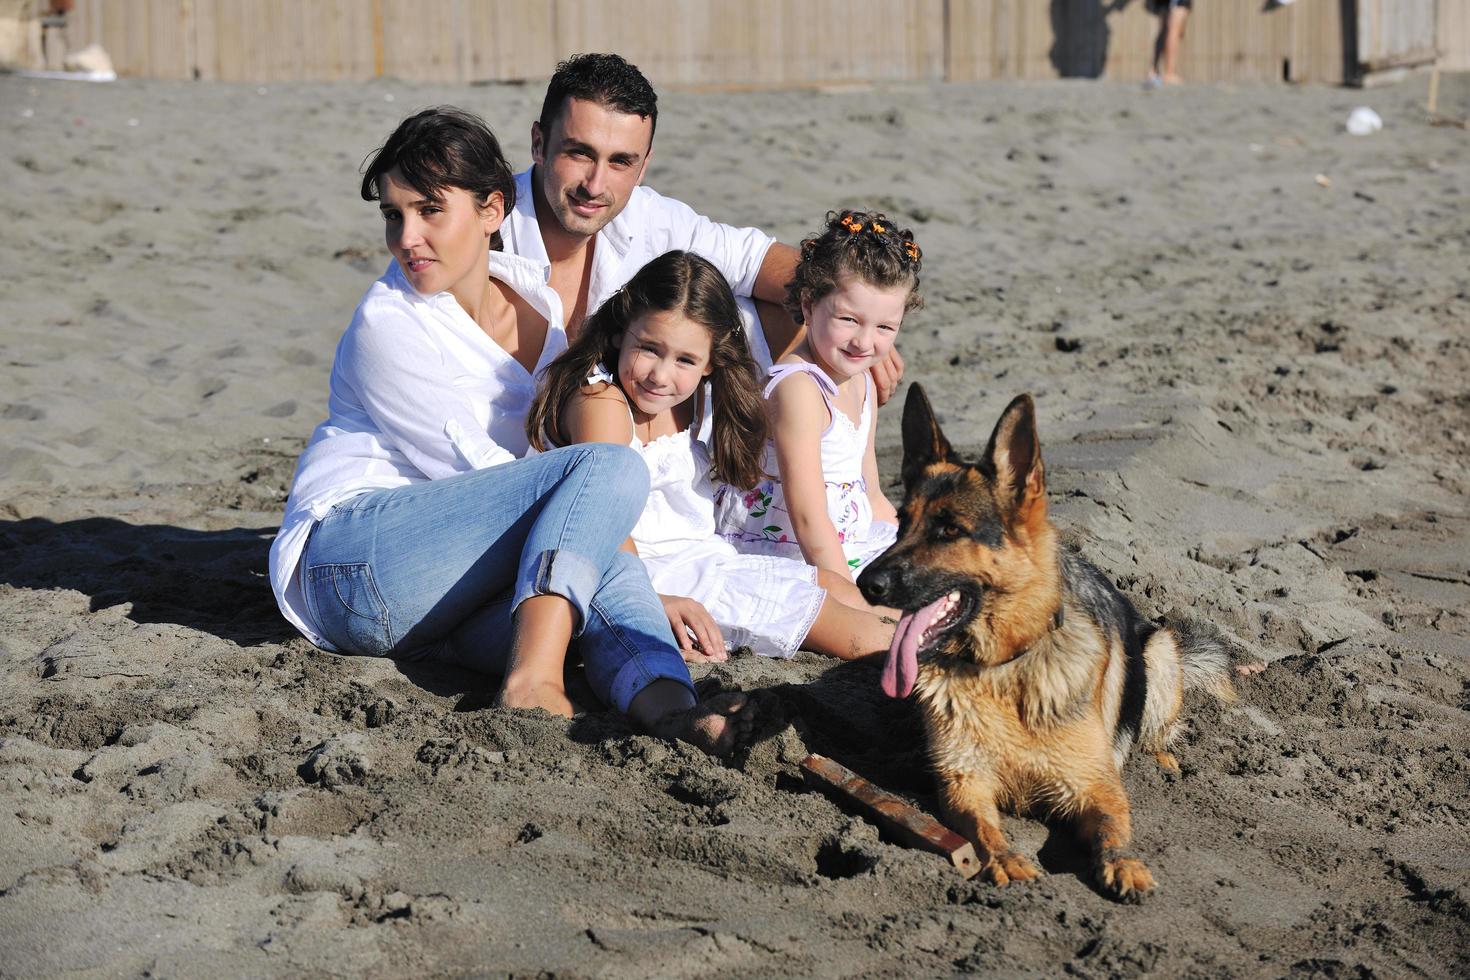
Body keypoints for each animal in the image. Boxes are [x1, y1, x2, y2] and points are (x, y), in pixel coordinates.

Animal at [858, 387, 1234, 899]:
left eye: (950, 529)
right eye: (900, 524)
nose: (865, 583)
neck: (1003, 669)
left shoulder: (1097, 786)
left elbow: (1114, 829)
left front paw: (1124, 863)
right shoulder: (964, 784)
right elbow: (984, 829)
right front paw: (1003, 858)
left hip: (1158, 654)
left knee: (1157, 728)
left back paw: (1164, 761)